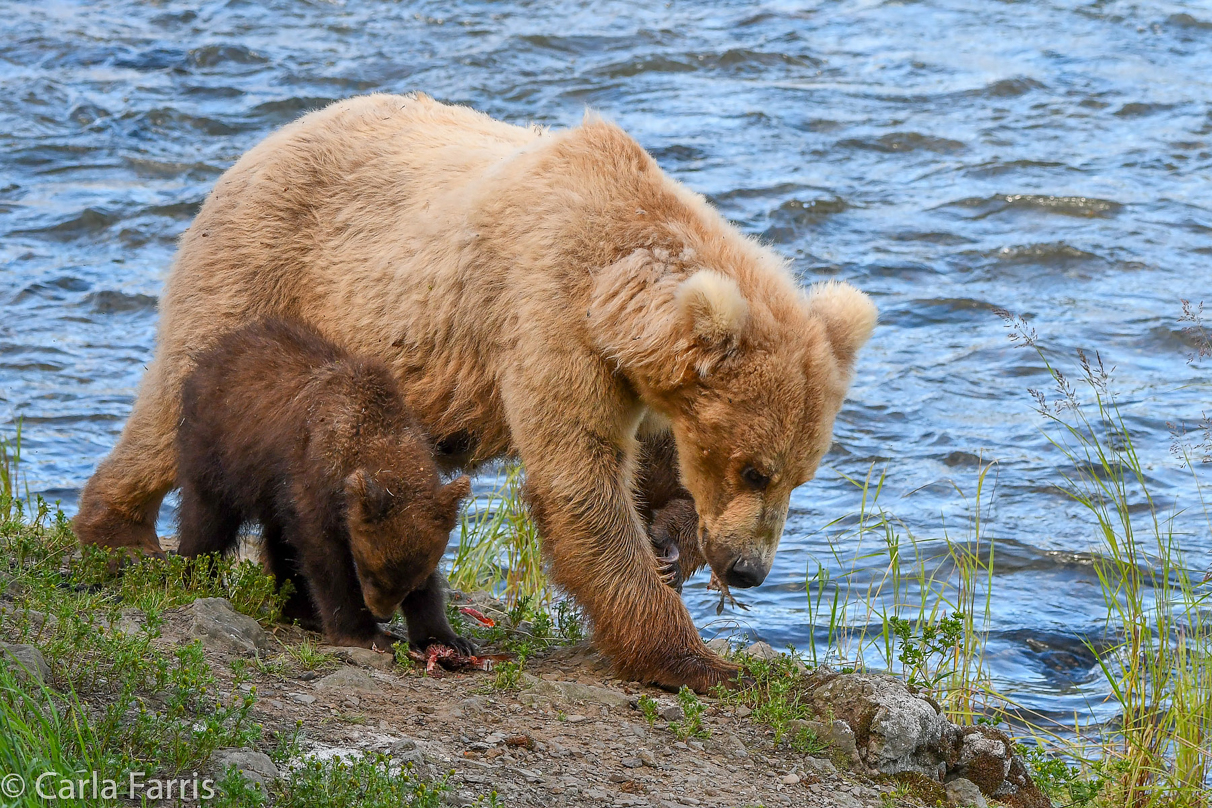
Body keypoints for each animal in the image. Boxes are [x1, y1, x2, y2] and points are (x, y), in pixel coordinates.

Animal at [73, 93, 872, 688]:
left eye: (799, 475)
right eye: (755, 468)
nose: (750, 570)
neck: (615, 291)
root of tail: (260, 143)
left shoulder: (637, 385)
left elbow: (648, 467)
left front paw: (671, 542)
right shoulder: (545, 315)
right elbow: (579, 486)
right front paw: (691, 659)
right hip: (262, 272)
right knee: (170, 404)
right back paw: (118, 529)